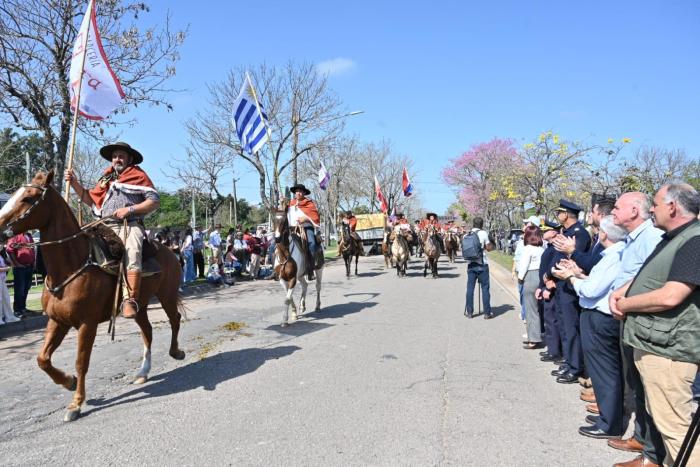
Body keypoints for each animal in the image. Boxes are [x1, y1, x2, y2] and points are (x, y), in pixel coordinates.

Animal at [0, 172, 186, 424]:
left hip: (166, 295)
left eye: (28, 198)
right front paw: (68, 382)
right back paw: (143, 372)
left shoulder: (86, 324)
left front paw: (76, 403)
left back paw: (176, 352)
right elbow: (42, 359)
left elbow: (81, 363)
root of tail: (169, 251)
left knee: (174, 320)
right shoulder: (57, 321)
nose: (0, 226)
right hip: (139, 305)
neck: (70, 267)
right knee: (147, 331)